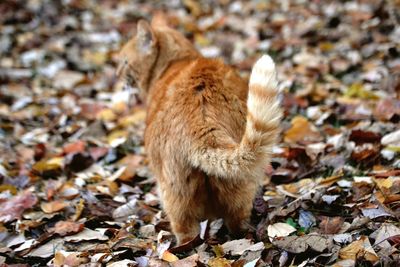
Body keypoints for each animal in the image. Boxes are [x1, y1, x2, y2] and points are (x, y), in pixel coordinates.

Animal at [117, 14, 282, 245]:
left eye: (124, 62)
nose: (117, 75)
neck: (177, 62)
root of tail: (203, 122)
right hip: (241, 188)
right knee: (238, 223)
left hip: (174, 194)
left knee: (186, 231)